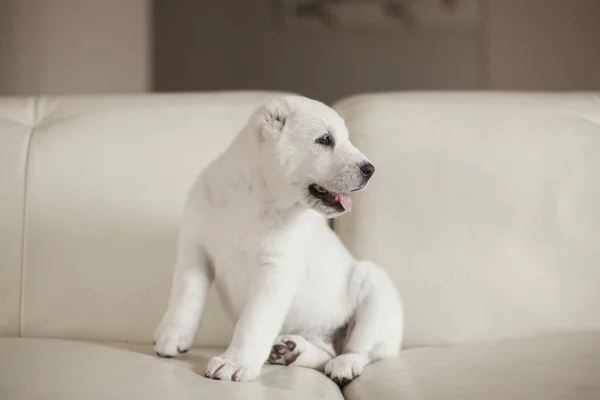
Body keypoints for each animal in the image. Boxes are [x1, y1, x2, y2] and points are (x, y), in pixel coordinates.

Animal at [156, 95, 404, 386]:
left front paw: (234, 363)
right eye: (324, 140)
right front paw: (172, 336)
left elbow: (254, 320)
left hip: (375, 289)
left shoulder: (275, 270)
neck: (256, 196)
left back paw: (344, 364)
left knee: (363, 350)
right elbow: (186, 295)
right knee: (325, 354)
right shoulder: (195, 248)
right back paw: (291, 351)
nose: (370, 169)